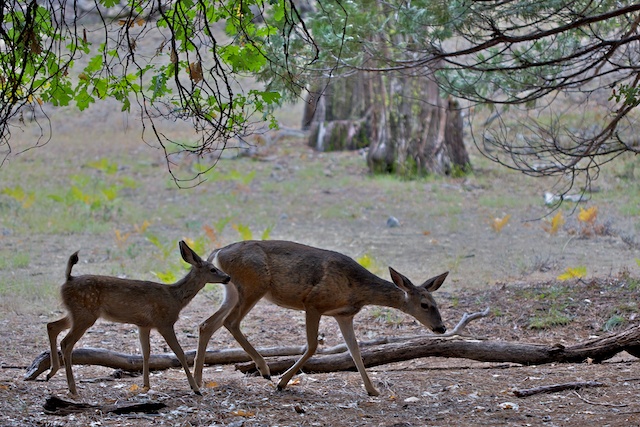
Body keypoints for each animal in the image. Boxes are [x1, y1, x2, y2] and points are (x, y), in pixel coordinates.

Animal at [47, 242, 232, 396]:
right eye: (213, 269)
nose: (228, 277)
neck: (175, 298)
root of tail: (68, 279)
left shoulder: (144, 324)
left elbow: (146, 352)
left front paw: (146, 385)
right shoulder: (164, 322)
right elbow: (179, 352)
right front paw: (195, 388)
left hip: (77, 313)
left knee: (52, 326)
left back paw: (51, 372)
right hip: (85, 314)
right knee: (66, 342)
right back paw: (72, 388)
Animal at [192, 241, 448, 398]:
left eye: (436, 304)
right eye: (425, 305)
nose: (442, 327)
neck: (357, 289)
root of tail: (218, 252)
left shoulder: (344, 315)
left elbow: (355, 350)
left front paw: (372, 390)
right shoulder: (313, 303)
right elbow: (314, 345)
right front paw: (282, 382)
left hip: (233, 290)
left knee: (207, 324)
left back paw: (198, 381)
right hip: (254, 285)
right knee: (231, 322)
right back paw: (264, 369)